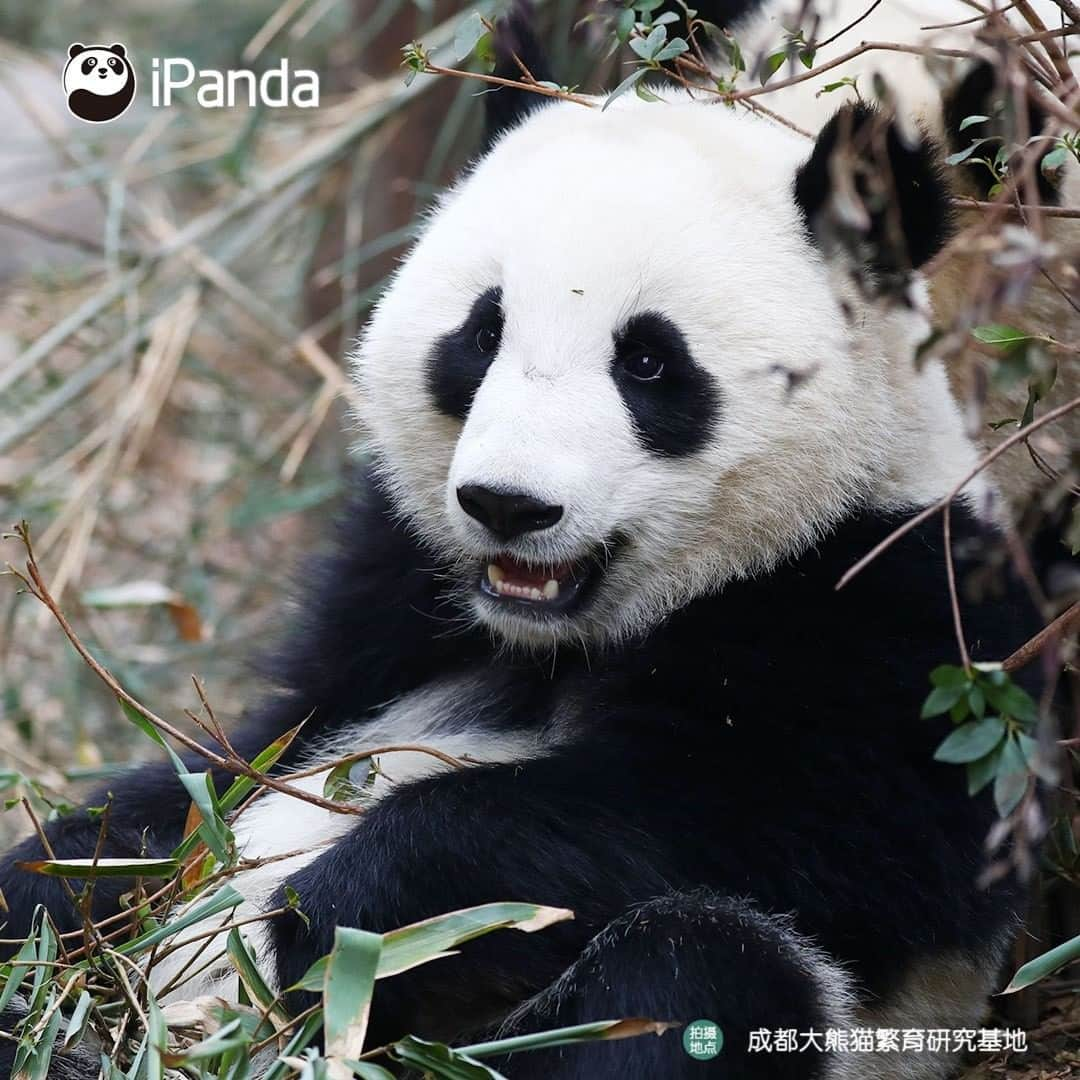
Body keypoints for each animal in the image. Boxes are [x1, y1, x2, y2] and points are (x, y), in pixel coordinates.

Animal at [0, 8, 1045, 1080]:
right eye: (481, 333)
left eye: (649, 362)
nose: (507, 505)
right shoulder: (395, 579)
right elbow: (234, 761)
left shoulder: (892, 610)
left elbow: (771, 822)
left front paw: (328, 919)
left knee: (693, 971)